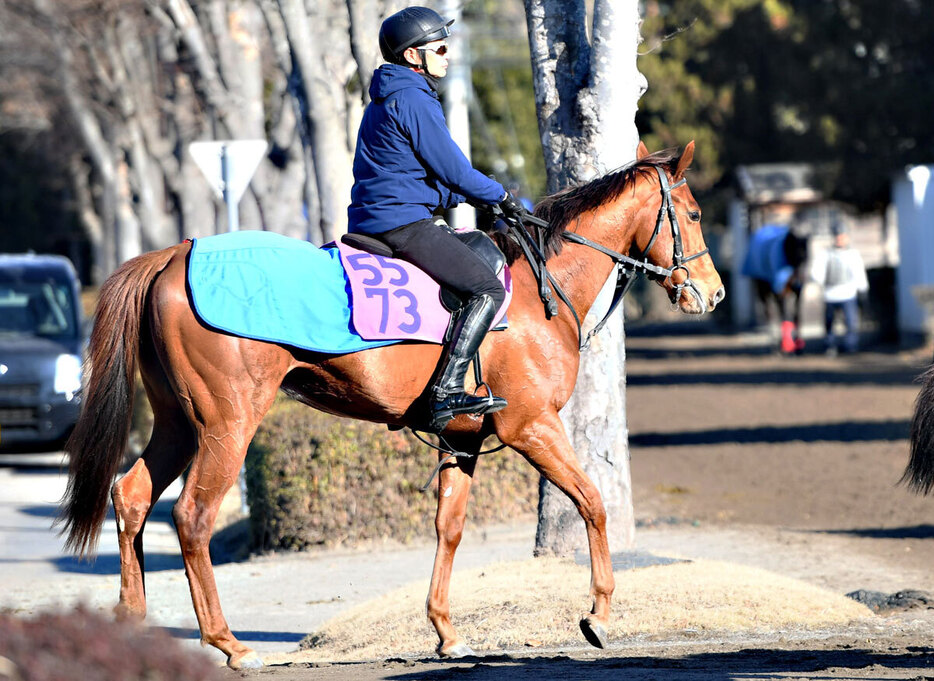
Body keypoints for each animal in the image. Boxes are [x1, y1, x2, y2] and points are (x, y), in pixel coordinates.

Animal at [58, 141, 728, 668]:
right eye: (694, 213)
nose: (714, 294)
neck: (539, 290)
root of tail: (175, 253)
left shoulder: (465, 439)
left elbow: (449, 527)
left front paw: (446, 632)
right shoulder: (531, 427)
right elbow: (592, 502)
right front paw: (599, 616)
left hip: (177, 422)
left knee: (133, 496)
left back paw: (133, 626)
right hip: (229, 423)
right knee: (192, 516)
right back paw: (231, 644)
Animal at [744, 224, 812, 354]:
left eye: (807, 257)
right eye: (796, 255)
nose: (801, 280)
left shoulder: (798, 293)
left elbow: (797, 315)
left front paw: (798, 346)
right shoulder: (781, 293)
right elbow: (784, 315)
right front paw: (787, 345)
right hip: (763, 292)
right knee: (770, 314)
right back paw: (774, 345)